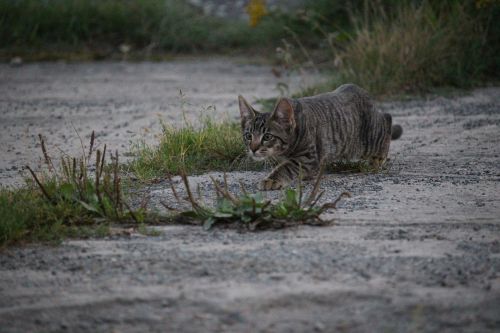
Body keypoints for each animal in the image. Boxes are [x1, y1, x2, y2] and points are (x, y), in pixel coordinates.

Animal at [238, 83, 402, 189]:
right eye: (248, 136)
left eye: (267, 137)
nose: (253, 149)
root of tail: (361, 91)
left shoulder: (307, 157)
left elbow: (286, 167)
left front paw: (271, 180)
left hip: (367, 140)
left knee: (387, 119)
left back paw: (378, 158)